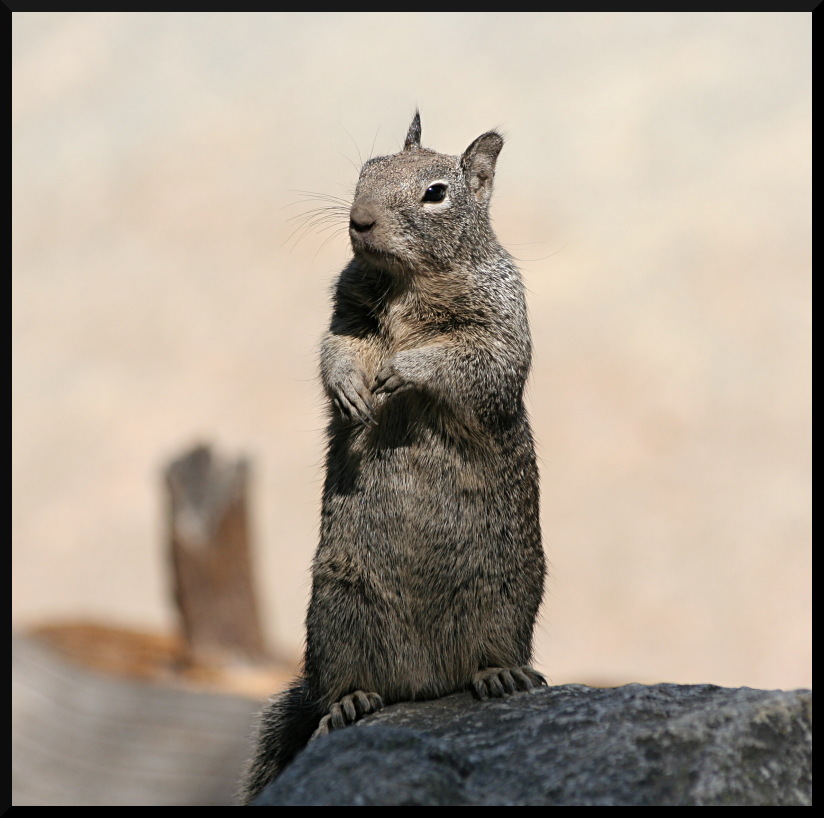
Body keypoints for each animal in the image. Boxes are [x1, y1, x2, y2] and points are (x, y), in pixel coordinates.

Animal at [240, 112, 546, 804]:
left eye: (436, 193)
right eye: (366, 170)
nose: (360, 220)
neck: (409, 282)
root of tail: (427, 683)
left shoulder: (500, 324)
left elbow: (474, 360)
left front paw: (404, 369)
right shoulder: (346, 310)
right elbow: (335, 348)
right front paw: (349, 390)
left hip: (508, 595)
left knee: (492, 653)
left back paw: (501, 676)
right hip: (336, 611)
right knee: (339, 686)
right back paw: (349, 702)